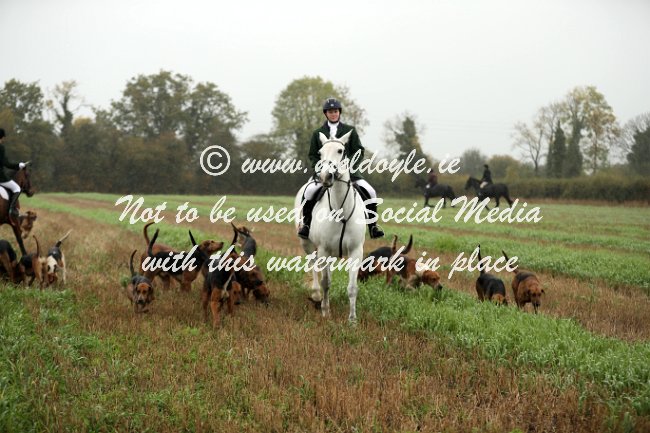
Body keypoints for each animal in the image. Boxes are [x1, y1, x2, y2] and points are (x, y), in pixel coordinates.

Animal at [294, 131, 366, 323]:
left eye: (340, 150)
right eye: (320, 152)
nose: (325, 177)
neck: (341, 211)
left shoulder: (356, 251)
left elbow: (352, 287)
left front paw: (352, 320)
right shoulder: (324, 249)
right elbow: (326, 283)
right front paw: (326, 311)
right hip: (308, 244)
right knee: (314, 266)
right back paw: (316, 295)